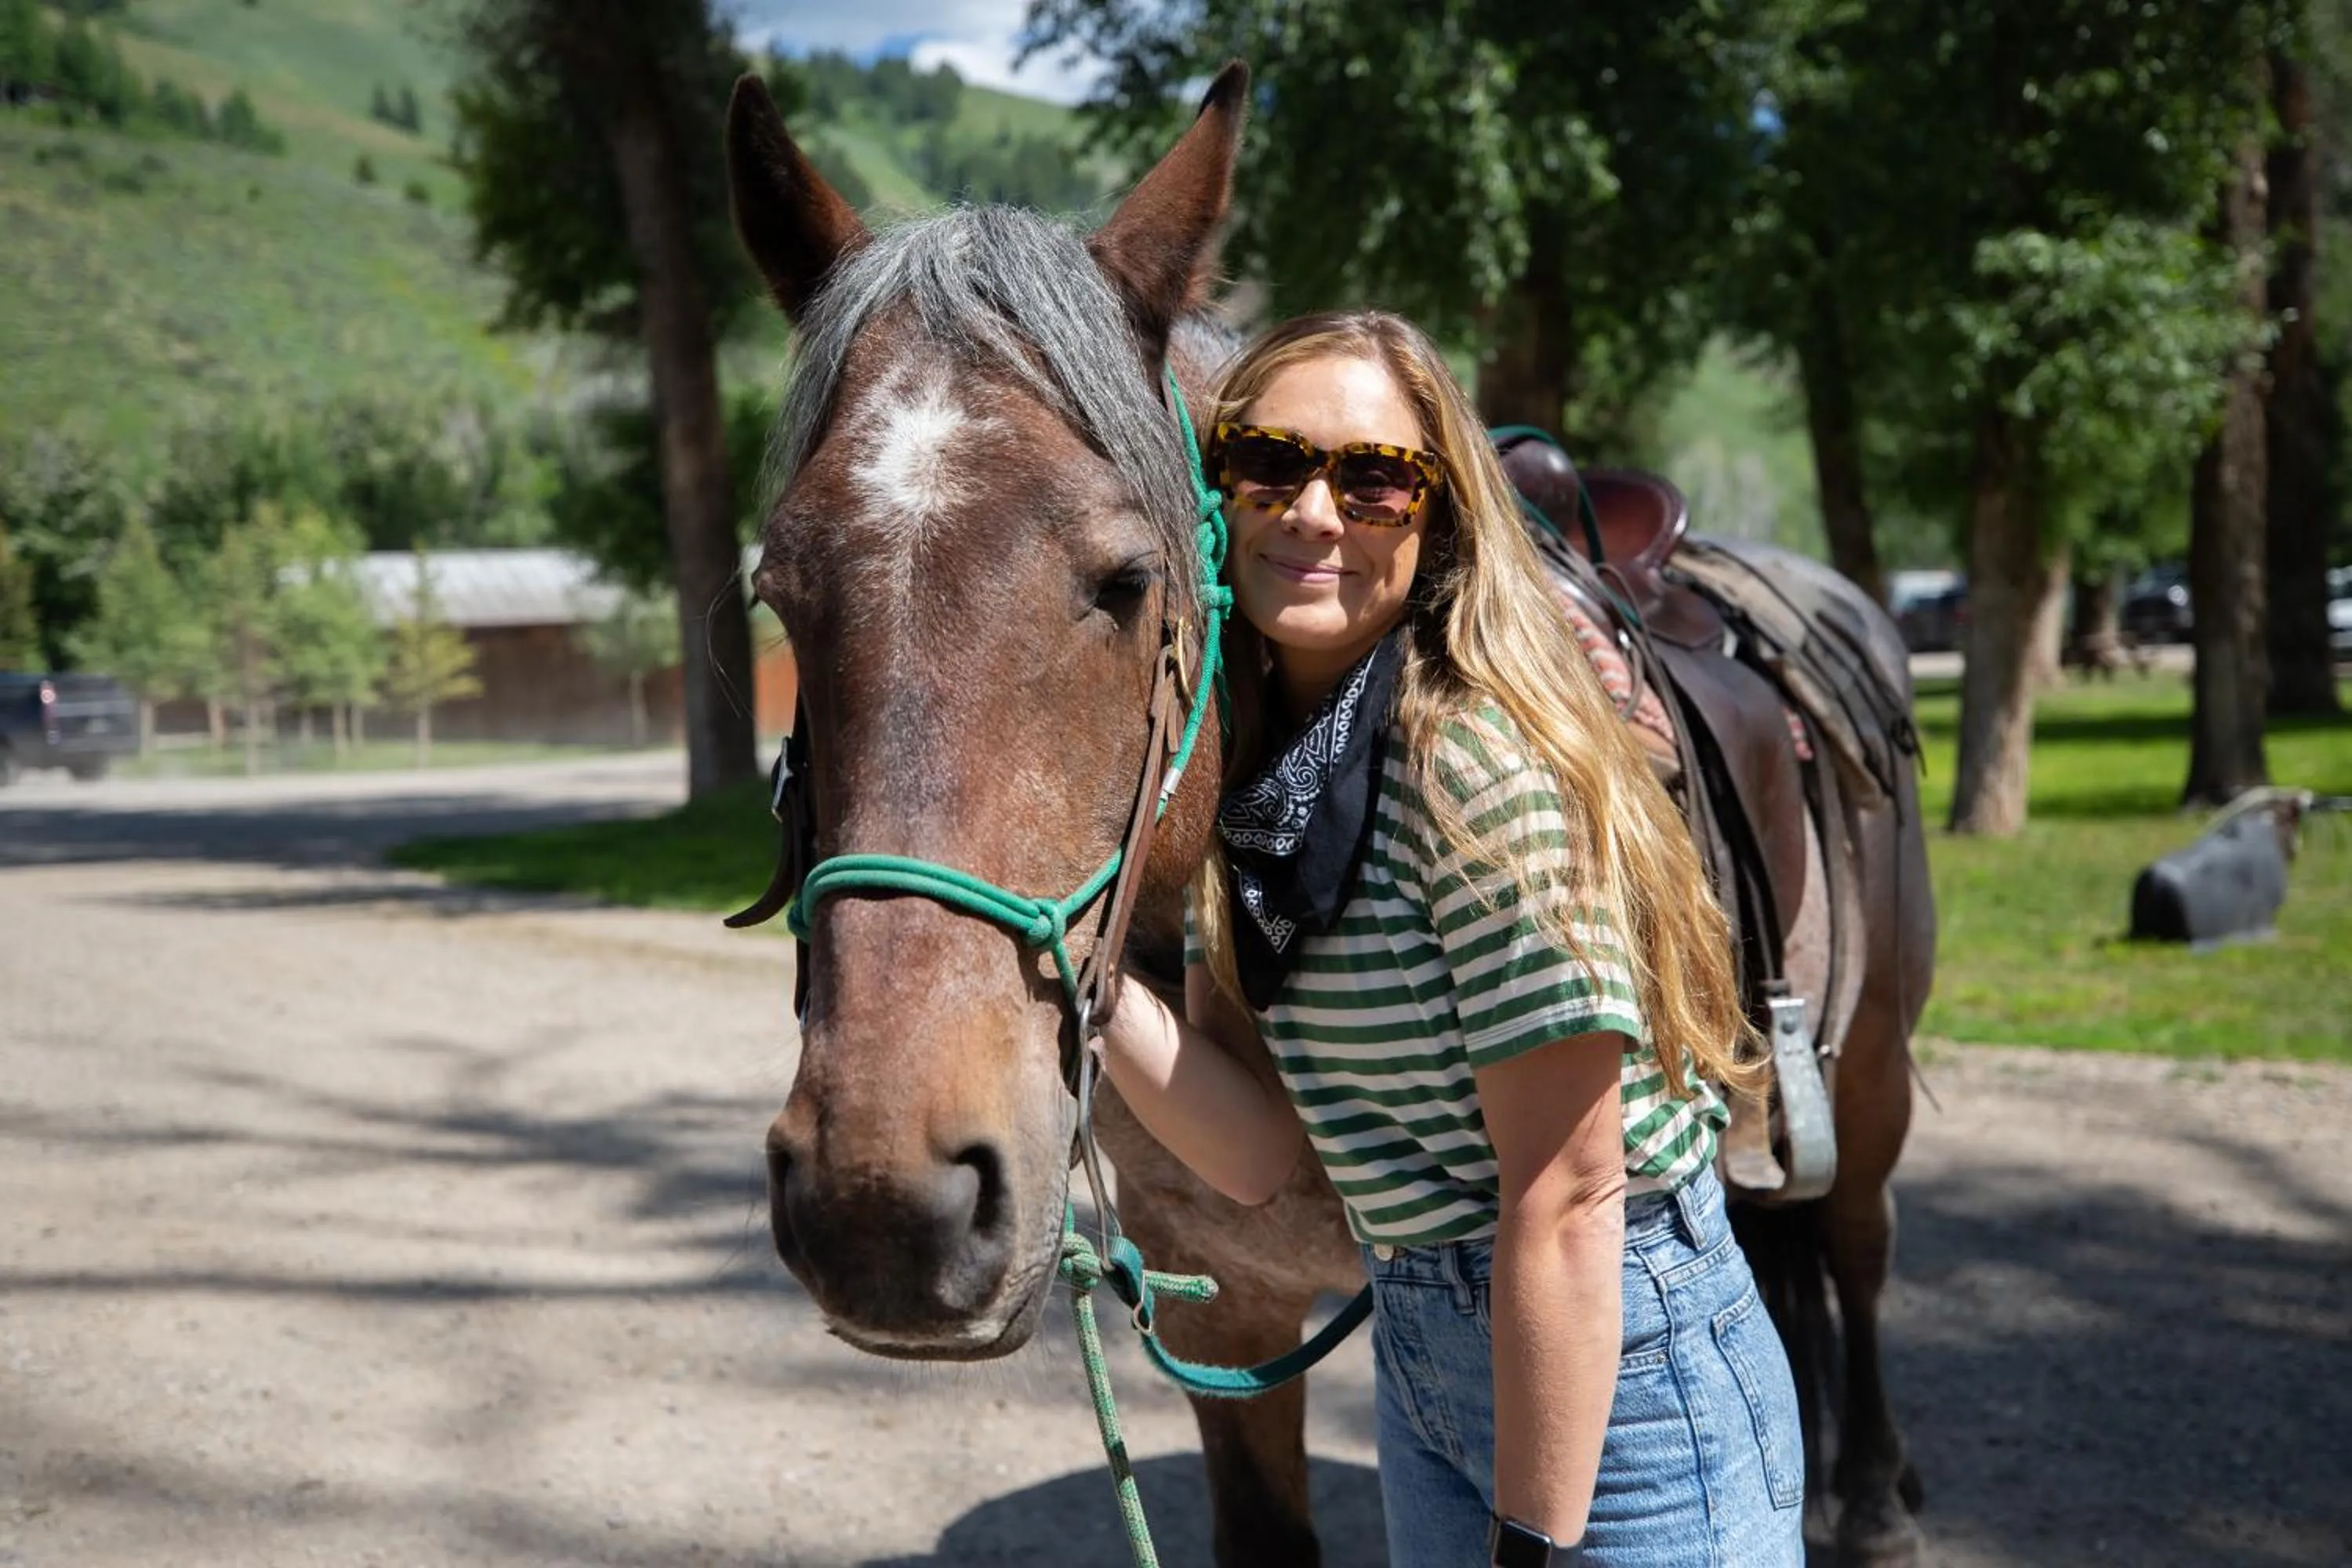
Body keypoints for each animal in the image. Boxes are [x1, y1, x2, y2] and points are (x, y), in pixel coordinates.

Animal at [723, 61, 1934, 1567]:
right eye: (781, 589)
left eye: (1126, 581)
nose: (885, 1204)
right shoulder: (1232, 1307)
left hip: (1871, 1065)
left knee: (1857, 1240)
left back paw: (1869, 1493)